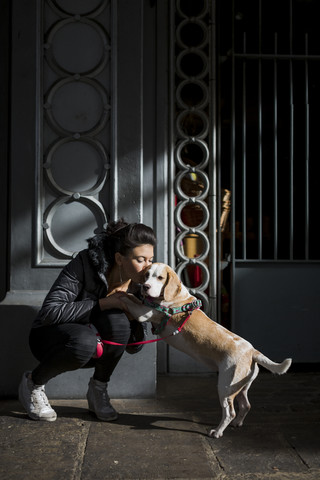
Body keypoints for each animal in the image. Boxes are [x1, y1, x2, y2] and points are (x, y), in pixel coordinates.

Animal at [121, 262, 292, 438]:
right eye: (147, 275)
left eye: (160, 278)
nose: (145, 287)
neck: (176, 297)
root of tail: (252, 351)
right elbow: (131, 297)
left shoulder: (143, 313)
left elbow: (126, 298)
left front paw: (117, 292)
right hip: (240, 387)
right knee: (246, 405)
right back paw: (237, 423)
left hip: (224, 387)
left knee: (230, 412)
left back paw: (217, 431)